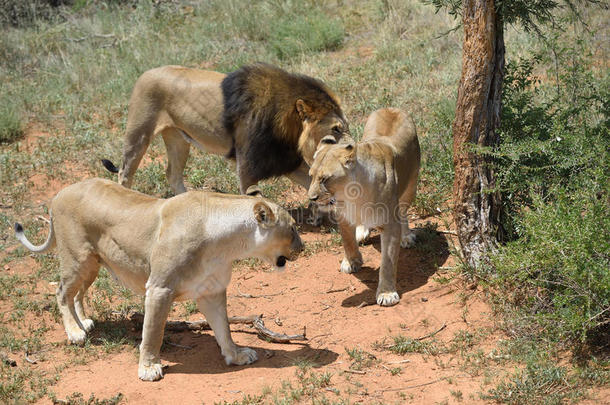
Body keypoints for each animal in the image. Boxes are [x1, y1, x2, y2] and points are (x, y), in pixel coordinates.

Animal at [17, 178, 304, 380]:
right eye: (292, 228)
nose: (302, 248)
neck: (228, 244)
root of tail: (60, 193)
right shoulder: (159, 288)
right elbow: (153, 332)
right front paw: (148, 368)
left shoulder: (211, 291)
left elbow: (224, 327)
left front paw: (235, 355)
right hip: (78, 259)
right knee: (62, 292)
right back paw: (75, 332)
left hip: (92, 265)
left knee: (77, 292)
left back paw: (84, 323)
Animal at [107, 62, 350, 194]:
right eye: (336, 129)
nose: (351, 149)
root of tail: (144, 73)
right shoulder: (248, 167)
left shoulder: (284, 160)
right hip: (139, 133)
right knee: (124, 173)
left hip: (177, 139)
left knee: (172, 174)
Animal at [308, 109, 418, 304]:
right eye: (311, 176)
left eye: (325, 179)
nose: (311, 198)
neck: (353, 196)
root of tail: (392, 108)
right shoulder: (343, 215)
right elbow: (347, 241)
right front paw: (351, 262)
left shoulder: (390, 225)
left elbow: (388, 262)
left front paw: (386, 293)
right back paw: (361, 232)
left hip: (411, 185)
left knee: (404, 210)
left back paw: (406, 236)